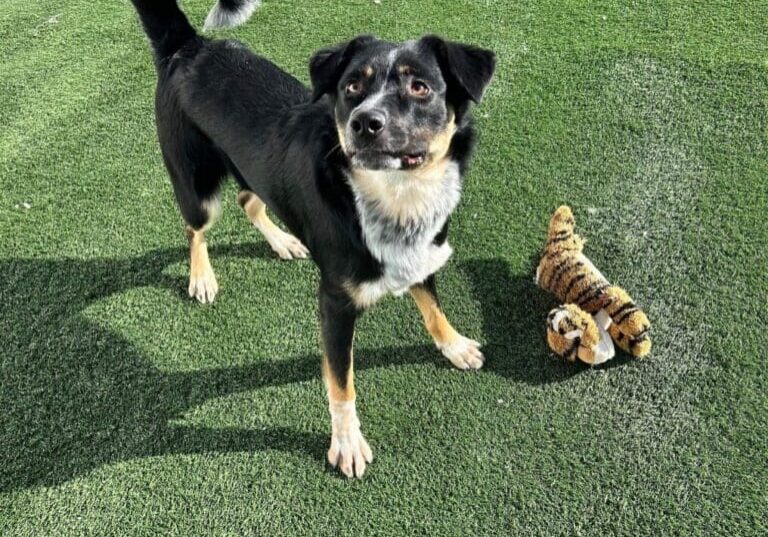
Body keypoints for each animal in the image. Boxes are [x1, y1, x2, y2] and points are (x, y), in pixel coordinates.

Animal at [129, 0, 496, 478]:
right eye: (352, 86)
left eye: (420, 87)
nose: (364, 123)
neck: (396, 199)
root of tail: (189, 47)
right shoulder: (334, 304)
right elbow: (341, 384)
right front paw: (347, 443)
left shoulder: (422, 258)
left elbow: (433, 310)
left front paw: (454, 346)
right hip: (197, 187)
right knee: (195, 229)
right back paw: (202, 277)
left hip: (251, 171)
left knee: (248, 200)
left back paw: (284, 242)